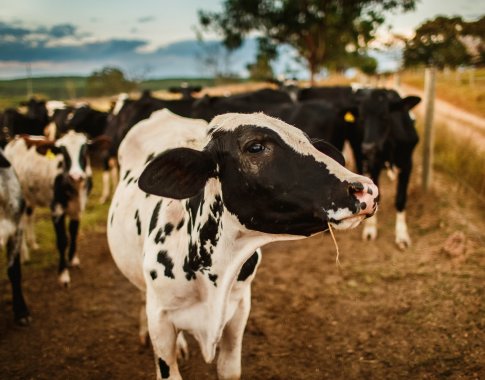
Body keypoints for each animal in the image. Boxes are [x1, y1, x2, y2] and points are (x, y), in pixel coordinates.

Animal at [4, 131, 102, 284]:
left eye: (85, 150)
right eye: (63, 152)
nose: (76, 176)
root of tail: (18, 137)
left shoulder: (78, 209)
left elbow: (74, 233)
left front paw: (73, 259)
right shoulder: (57, 209)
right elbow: (62, 240)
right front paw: (63, 274)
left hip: (30, 196)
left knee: (29, 216)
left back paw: (33, 244)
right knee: (21, 222)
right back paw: (24, 254)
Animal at [356, 89, 420, 249]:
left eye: (384, 116)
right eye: (362, 117)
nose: (368, 148)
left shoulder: (407, 164)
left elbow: (401, 199)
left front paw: (402, 235)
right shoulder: (373, 164)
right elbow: (376, 196)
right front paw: (370, 229)